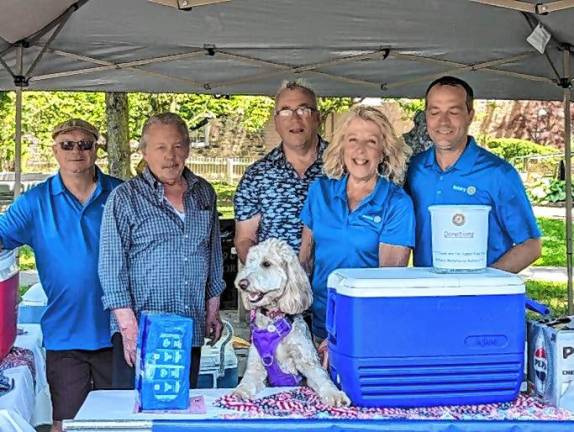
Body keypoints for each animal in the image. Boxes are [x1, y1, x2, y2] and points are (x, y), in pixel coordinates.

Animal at [233, 238, 352, 406]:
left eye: (266, 264)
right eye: (250, 262)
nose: (241, 284)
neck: (274, 320)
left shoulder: (308, 363)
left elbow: (324, 380)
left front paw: (335, 395)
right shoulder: (256, 367)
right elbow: (247, 381)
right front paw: (239, 392)